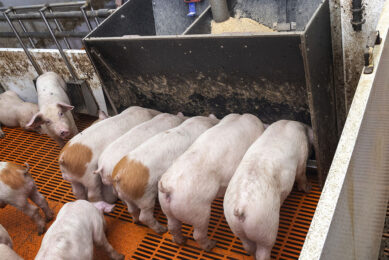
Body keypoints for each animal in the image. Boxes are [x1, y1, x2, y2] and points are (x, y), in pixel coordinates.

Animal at [158, 113, 264, 250]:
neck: (238, 118)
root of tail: (168, 188)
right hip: (198, 211)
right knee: (198, 234)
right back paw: (211, 245)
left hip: (167, 208)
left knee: (173, 226)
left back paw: (181, 241)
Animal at [223, 120, 310, 260]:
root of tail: (240, 208)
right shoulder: (302, 155)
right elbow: (301, 174)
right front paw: (307, 189)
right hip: (266, 227)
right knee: (263, 251)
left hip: (235, 226)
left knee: (247, 246)